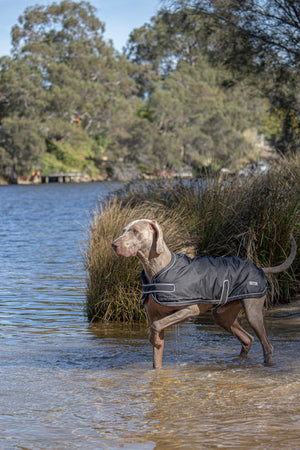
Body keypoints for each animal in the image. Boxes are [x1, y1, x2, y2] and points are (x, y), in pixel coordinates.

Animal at [111, 219, 296, 370]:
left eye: (135, 231)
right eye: (123, 230)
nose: (114, 245)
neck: (157, 269)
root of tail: (259, 268)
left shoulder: (189, 310)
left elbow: (155, 326)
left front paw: (152, 338)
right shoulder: (155, 315)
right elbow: (157, 355)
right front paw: (156, 347)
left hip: (252, 310)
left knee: (267, 345)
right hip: (222, 314)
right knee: (247, 339)